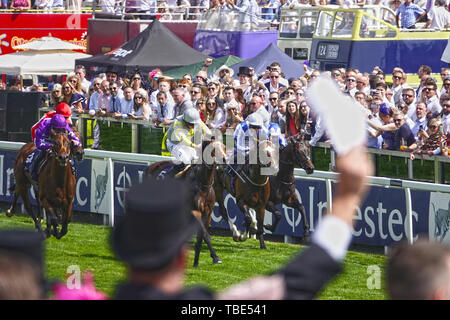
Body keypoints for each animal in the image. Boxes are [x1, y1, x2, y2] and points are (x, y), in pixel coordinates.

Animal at [146, 140, 227, 268]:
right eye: (213, 148)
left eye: (224, 147)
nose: (225, 159)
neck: (203, 185)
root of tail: (150, 167)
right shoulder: (193, 210)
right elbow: (205, 234)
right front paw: (215, 257)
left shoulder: (208, 213)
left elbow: (201, 236)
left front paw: (197, 261)